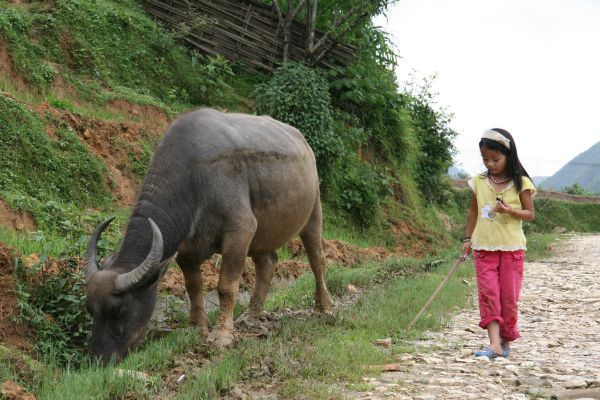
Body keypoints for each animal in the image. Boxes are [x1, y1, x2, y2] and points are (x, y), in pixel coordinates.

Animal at [84, 108, 332, 364]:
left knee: (317, 260)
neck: (193, 179)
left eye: (118, 309)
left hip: (313, 212)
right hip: (262, 236)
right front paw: (196, 326)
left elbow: (226, 286)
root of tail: (304, 145)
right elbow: (193, 286)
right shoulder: (184, 249)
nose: (98, 359)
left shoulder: (239, 231)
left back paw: (324, 308)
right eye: (89, 309)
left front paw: (222, 335)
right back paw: (251, 315)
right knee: (268, 263)